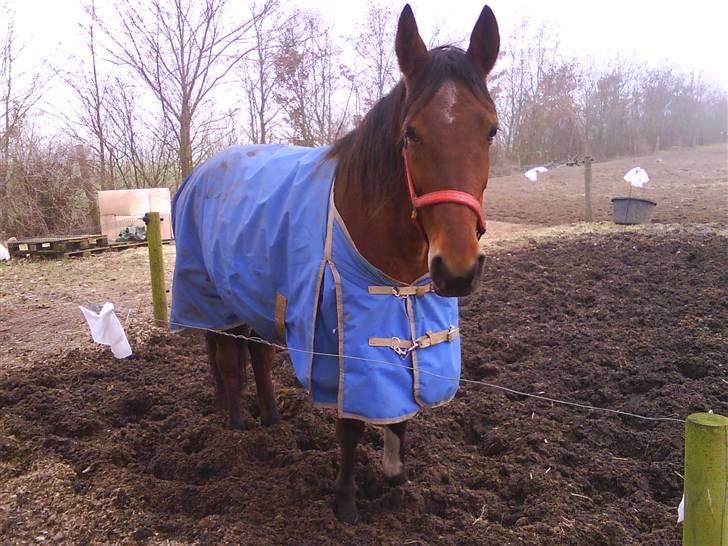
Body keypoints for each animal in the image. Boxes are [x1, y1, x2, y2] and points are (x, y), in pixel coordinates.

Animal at [193, 5, 498, 524]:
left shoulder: (403, 318)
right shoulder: (344, 338)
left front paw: (397, 477)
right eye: (411, 134)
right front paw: (346, 503)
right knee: (227, 357)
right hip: (216, 299)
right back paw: (233, 423)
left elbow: (401, 409)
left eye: (491, 129)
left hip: (255, 299)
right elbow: (352, 425)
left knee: (256, 355)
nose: (457, 270)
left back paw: (270, 418)